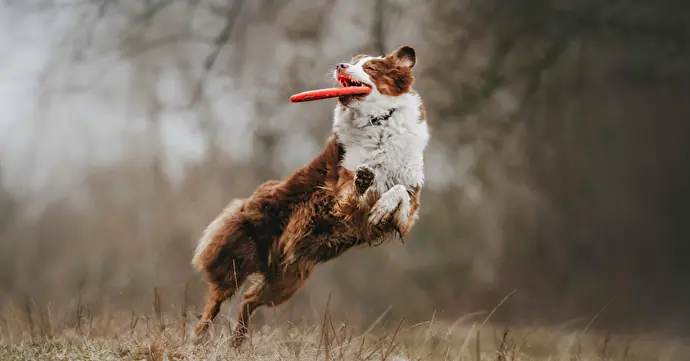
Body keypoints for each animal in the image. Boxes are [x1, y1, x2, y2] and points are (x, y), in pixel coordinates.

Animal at [191, 45, 428, 346]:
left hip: (288, 279)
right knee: (215, 302)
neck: (378, 123)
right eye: (353, 61)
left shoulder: (411, 202)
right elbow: (354, 195)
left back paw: (237, 342)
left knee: (248, 300)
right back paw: (198, 337)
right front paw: (366, 187)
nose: (340, 65)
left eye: (371, 67)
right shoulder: (339, 192)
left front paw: (382, 208)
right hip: (238, 260)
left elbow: (399, 194)